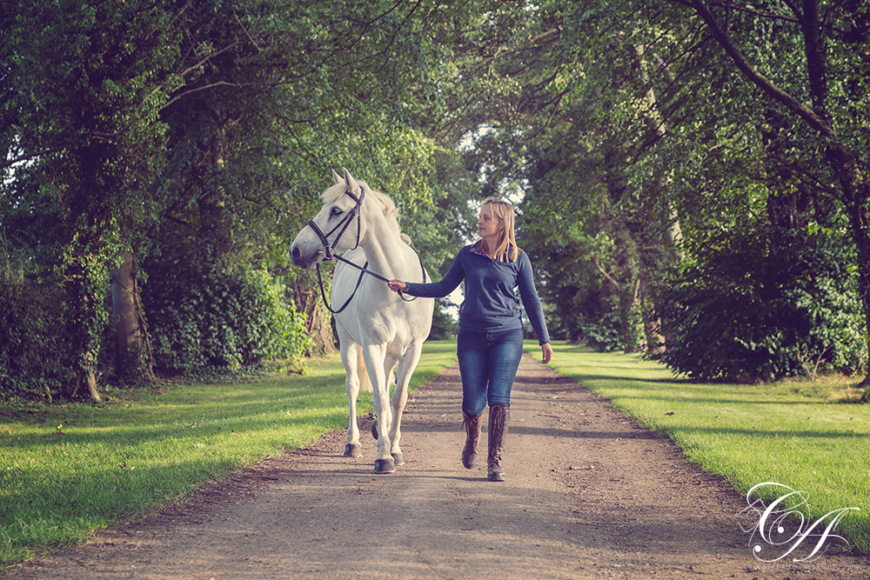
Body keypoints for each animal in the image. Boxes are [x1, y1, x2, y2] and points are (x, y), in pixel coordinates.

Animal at [292, 165, 434, 474]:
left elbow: (398, 398)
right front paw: (383, 457)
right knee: (354, 387)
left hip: (390, 353)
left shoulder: (413, 350)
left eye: (335, 210)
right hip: (348, 343)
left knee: (387, 384)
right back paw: (354, 442)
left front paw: (394, 449)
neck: (396, 286)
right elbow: (379, 397)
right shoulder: (371, 346)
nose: (295, 251)